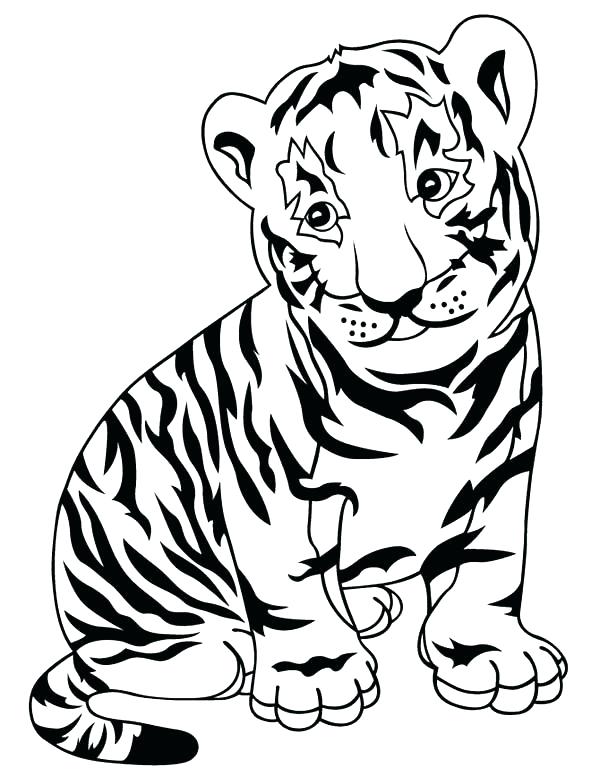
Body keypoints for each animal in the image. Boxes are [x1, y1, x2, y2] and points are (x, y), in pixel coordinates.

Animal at [30, 15, 567, 765]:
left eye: (434, 183)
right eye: (319, 216)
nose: (395, 296)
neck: (429, 388)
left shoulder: (503, 467)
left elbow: (489, 560)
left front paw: (488, 655)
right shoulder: (270, 489)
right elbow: (289, 584)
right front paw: (319, 676)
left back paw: (365, 606)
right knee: (119, 657)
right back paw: (233, 651)